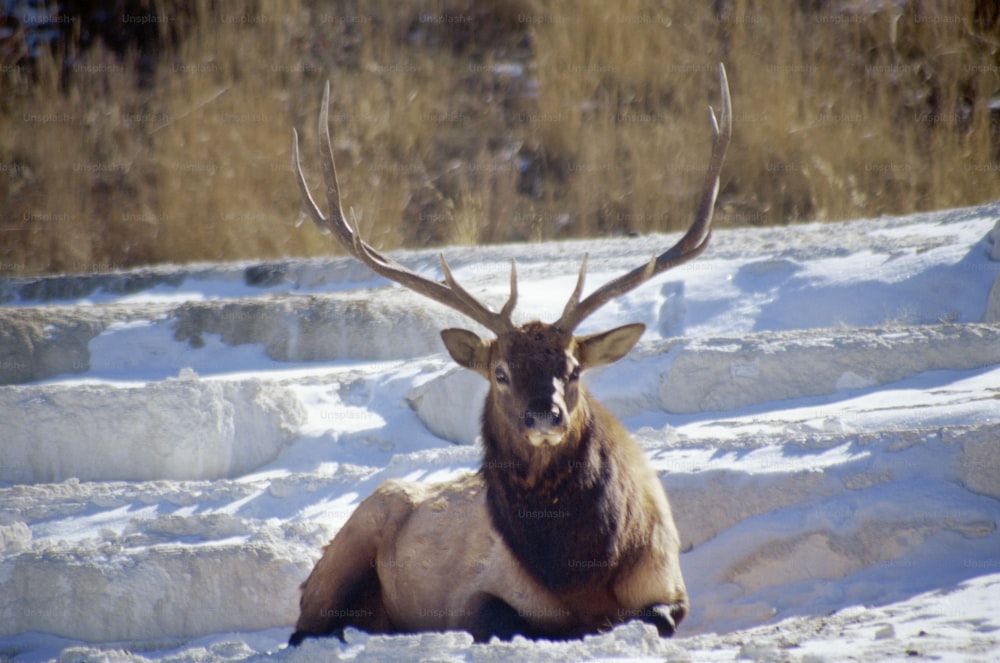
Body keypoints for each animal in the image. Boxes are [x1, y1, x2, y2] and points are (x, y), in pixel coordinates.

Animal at [286, 63, 732, 648]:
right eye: (499, 372)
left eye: (574, 369)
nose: (544, 414)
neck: (582, 571)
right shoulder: (475, 596)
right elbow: (508, 622)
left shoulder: (669, 585)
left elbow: (653, 617)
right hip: (346, 547)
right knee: (303, 628)